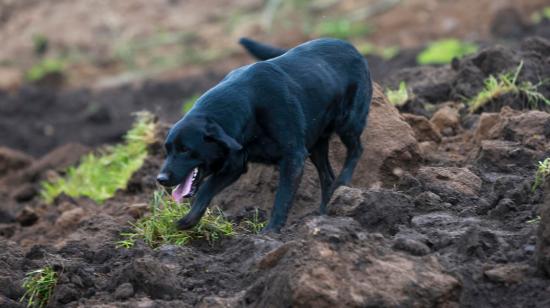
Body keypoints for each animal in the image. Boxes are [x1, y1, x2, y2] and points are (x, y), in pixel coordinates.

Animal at [160, 37, 376, 232]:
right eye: (167, 150)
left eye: (185, 149)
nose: (160, 179)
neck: (249, 104)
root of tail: (349, 45)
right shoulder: (235, 165)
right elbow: (206, 189)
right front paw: (188, 220)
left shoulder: (293, 157)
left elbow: (282, 197)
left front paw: (270, 232)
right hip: (317, 144)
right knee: (327, 177)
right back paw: (324, 214)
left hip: (348, 122)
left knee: (357, 149)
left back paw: (343, 182)